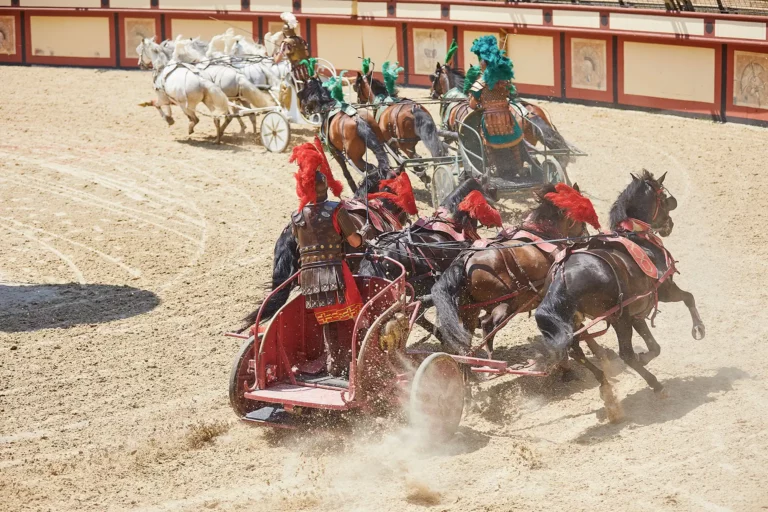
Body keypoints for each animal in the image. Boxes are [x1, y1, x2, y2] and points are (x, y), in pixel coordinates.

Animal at [432, 184, 592, 356]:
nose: (586, 236)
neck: (542, 234)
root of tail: (466, 259)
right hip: (505, 304)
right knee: (487, 326)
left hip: (470, 309)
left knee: (467, 333)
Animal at [536, 171, 708, 420]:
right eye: (663, 197)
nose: (670, 225)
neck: (637, 238)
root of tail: (562, 273)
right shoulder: (664, 290)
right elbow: (689, 297)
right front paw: (698, 328)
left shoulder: (638, 310)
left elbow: (654, 346)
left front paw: (645, 355)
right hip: (618, 319)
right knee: (625, 353)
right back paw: (656, 386)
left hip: (578, 322)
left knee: (576, 351)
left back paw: (607, 390)